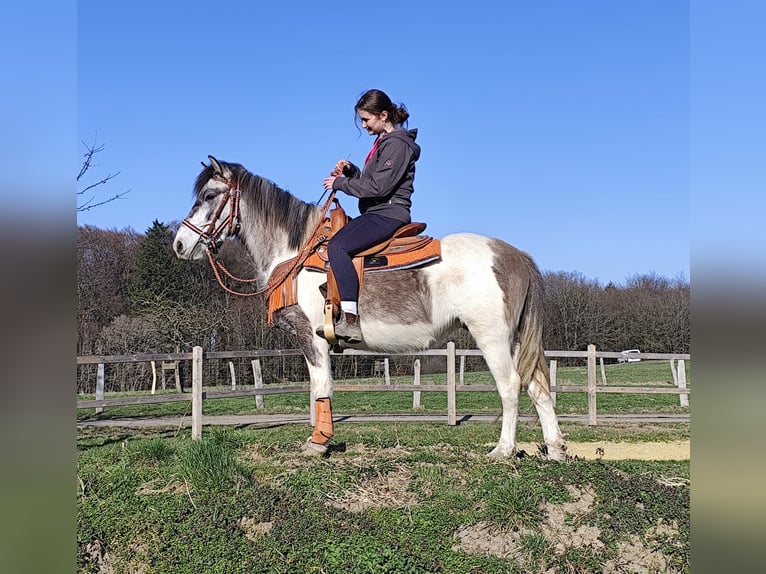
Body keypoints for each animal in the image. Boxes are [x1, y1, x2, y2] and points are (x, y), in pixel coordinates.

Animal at [173, 156, 567, 460]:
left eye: (209, 195)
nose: (179, 243)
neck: (295, 253)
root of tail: (516, 256)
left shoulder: (311, 337)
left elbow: (320, 387)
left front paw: (318, 444)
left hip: (491, 336)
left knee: (511, 385)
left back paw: (503, 450)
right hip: (515, 338)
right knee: (537, 386)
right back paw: (555, 449)